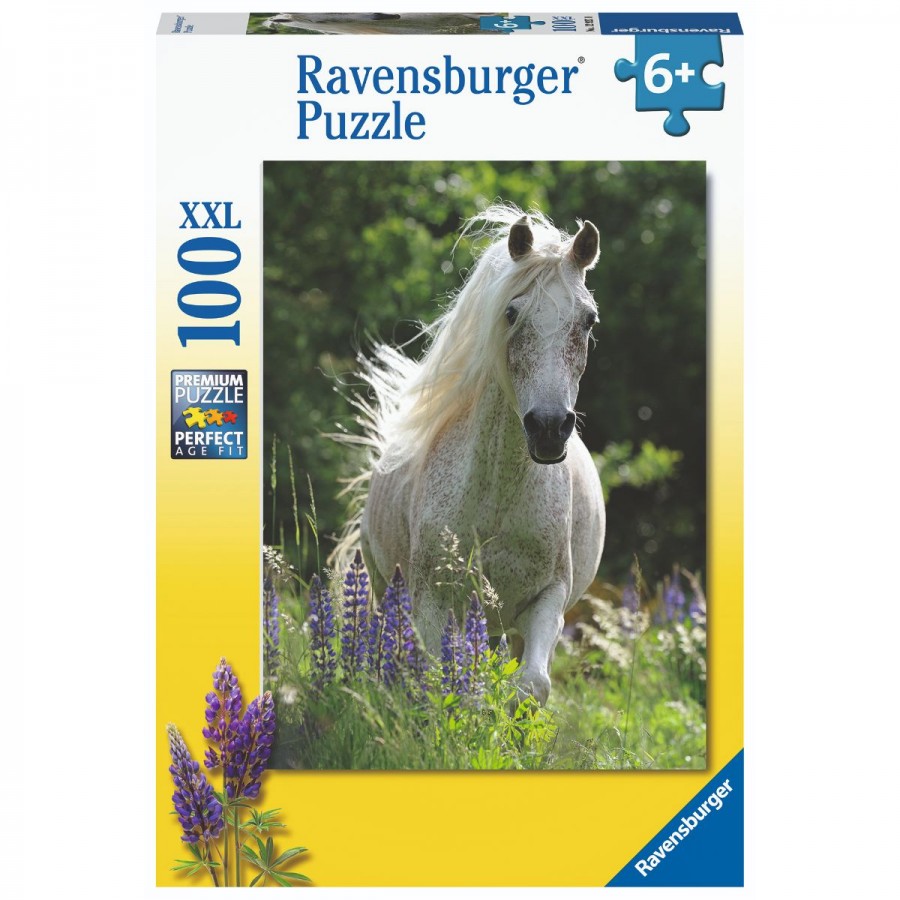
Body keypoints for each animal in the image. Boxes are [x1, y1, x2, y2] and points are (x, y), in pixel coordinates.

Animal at [345, 205, 605, 705]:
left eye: (588, 320)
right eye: (511, 312)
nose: (548, 429)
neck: (497, 496)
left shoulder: (548, 599)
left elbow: (532, 685)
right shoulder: (432, 600)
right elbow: (438, 683)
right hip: (386, 587)